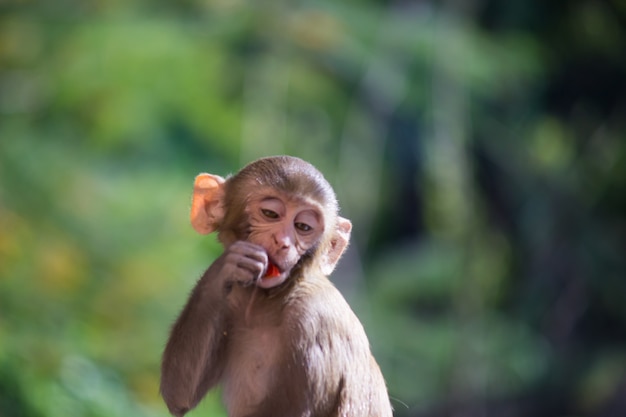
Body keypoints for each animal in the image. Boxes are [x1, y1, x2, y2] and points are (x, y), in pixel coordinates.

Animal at [160, 154, 390, 414]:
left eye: (303, 227)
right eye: (270, 213)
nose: (282, 242)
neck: (271, 301)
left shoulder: (315, 319)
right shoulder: (234, 300)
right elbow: (178, 395)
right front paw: (224, 267)